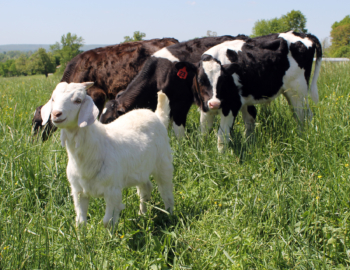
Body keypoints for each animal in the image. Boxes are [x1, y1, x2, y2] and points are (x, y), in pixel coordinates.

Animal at [40, 81, 174, 227]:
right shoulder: (78, 190)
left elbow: (107, 221)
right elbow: (81, 220)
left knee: (166, 190)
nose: (56, 114)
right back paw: (142, 214)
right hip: (140, 170)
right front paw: (81, 233)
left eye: (78, 100)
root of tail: (157, 116)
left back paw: (170, 215)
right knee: (145, 189)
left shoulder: (112, 190)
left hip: (163, 163)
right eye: (53, 99)